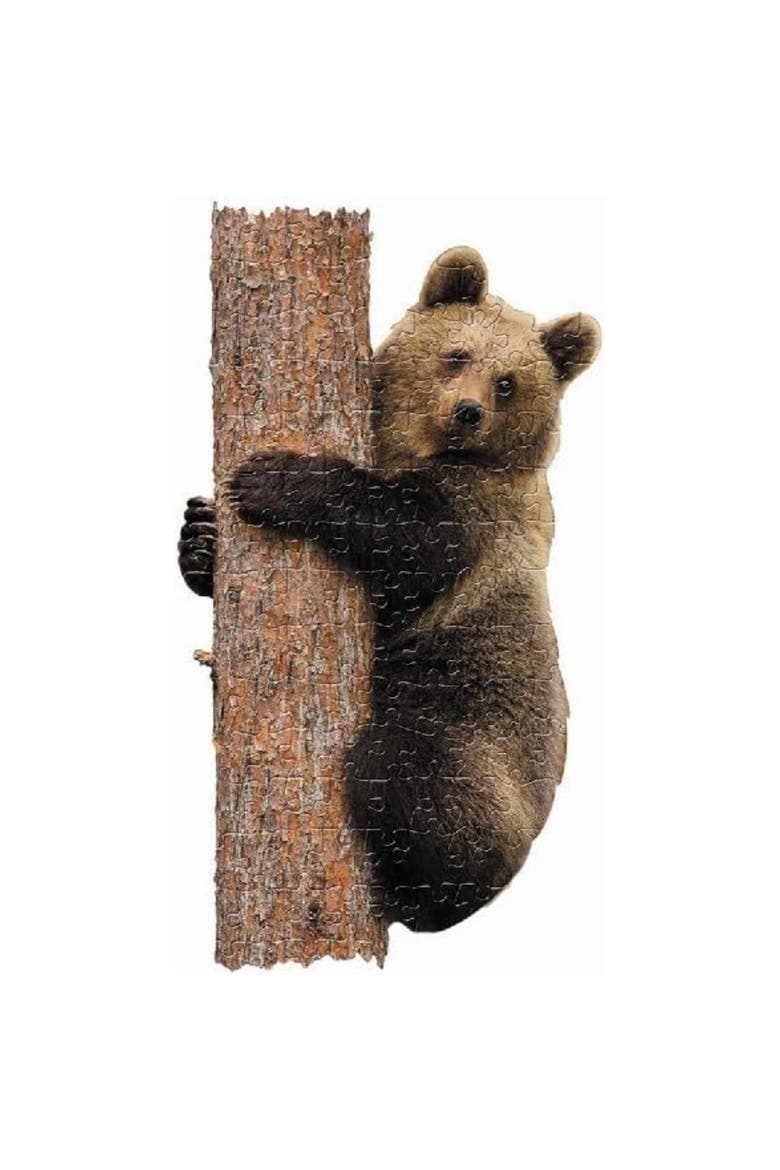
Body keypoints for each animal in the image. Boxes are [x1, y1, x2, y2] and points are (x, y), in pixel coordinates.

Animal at [178, 246, 600, 932]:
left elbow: (402, 539)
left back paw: (417, 882)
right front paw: (200, 536)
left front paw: (273, 478)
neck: (420, 450)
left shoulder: (477, 519)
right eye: (457, 355)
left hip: (472, 736)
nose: (467, 412)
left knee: (408, 773)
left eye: (507, 382)